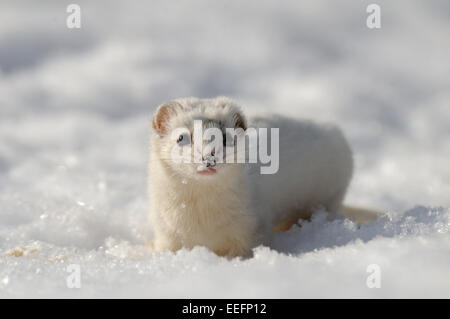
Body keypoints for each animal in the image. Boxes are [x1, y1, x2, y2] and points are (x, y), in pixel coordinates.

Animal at [149, 97, 356, 258]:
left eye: (226, 137)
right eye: (181, 137)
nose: (209, 157)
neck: (201, 219)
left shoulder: (251, 226)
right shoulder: (167, 232)